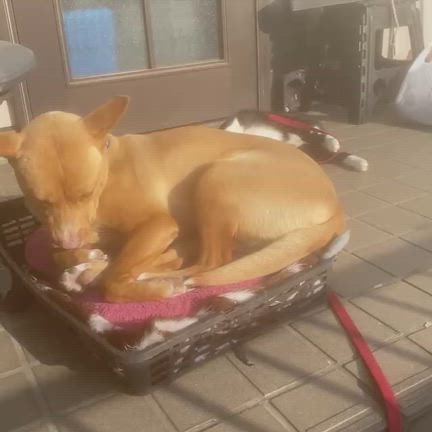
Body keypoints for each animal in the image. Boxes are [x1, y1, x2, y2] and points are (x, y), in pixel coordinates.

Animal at [0, 97, 346, 303]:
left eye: (86, 192)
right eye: (39, 201)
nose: (71, 240)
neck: (108, 169)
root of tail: (335, 204)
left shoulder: (161, 225)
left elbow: (114, 279)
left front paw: (116, 275)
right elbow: (65, 254)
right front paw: (83, 259)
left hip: (214, 179)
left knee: (211, 262)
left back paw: (156, 278)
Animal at [220, 110, 368, 172]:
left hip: (290, 126)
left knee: (316, 134)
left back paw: (333, 144)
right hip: (309, 150)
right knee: (330, 152)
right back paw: (358, 162)